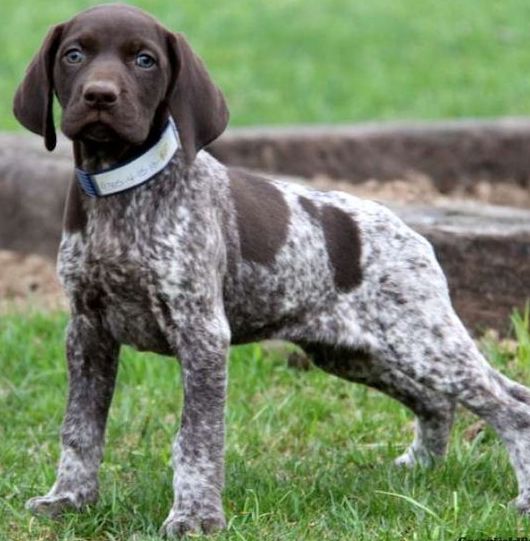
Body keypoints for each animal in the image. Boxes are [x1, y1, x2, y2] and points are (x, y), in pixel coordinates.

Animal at [13, 4, 530, 536]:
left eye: (144, 60)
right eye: (74, 55)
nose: (100, 95)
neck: (122, 190)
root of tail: (411, 233)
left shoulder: (202, 334)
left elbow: (197, 439)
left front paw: (195, 517)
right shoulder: (87, 331)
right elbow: (80, 429)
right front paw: (69, 499)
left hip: (422, 341)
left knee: (509, 407)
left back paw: (523, 496)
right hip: (353, 353)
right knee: (440, 401)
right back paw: (419, 466)